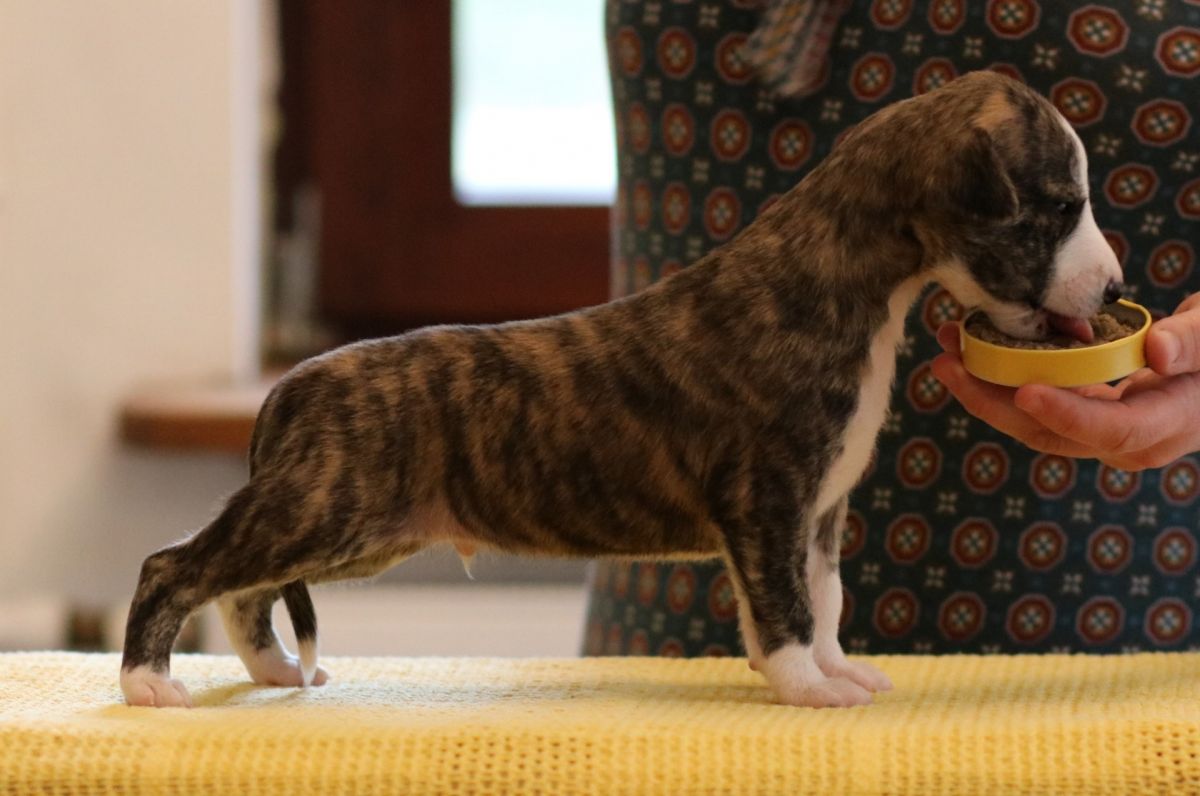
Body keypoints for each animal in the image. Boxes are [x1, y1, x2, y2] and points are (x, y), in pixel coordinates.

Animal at [121, 71, 1122, 708]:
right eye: (1060, 206)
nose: (1112, 289)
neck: (845, 277)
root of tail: (290, 386)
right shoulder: (765, 499)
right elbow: (787, 609)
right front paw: (807, 689)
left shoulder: (817, 510)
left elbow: (822, 601)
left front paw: (835, 671)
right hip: (326, 507)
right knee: (177, 565)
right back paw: (148, 684)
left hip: (346, 528)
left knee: (243, 588)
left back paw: (271, 673)